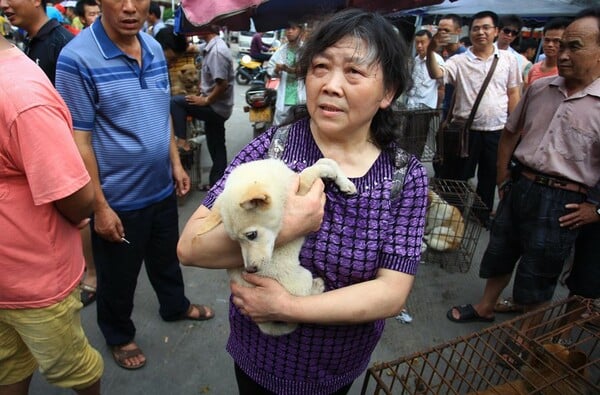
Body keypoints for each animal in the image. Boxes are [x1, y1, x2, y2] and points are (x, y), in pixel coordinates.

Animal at [196, 159, 356, 338]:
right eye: (235, 241)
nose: (250, 270)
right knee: (301, 302)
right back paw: (317, 287)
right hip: (301, 278)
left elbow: (326, 160)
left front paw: (344, 182)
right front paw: (327, 172)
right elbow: (309, 171)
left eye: (251, 235)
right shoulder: (302, 192)